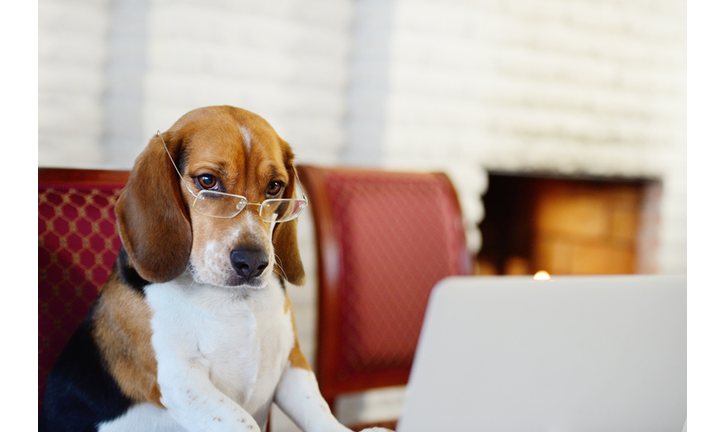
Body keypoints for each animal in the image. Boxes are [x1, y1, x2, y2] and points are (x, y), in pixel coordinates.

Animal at [39, 105, 390, 432]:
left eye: (275, 186)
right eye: (208, 181)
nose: (253, 262)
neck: (233, 300)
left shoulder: (292, 362)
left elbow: (320, 413)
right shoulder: (181, 381)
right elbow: (243, 420)